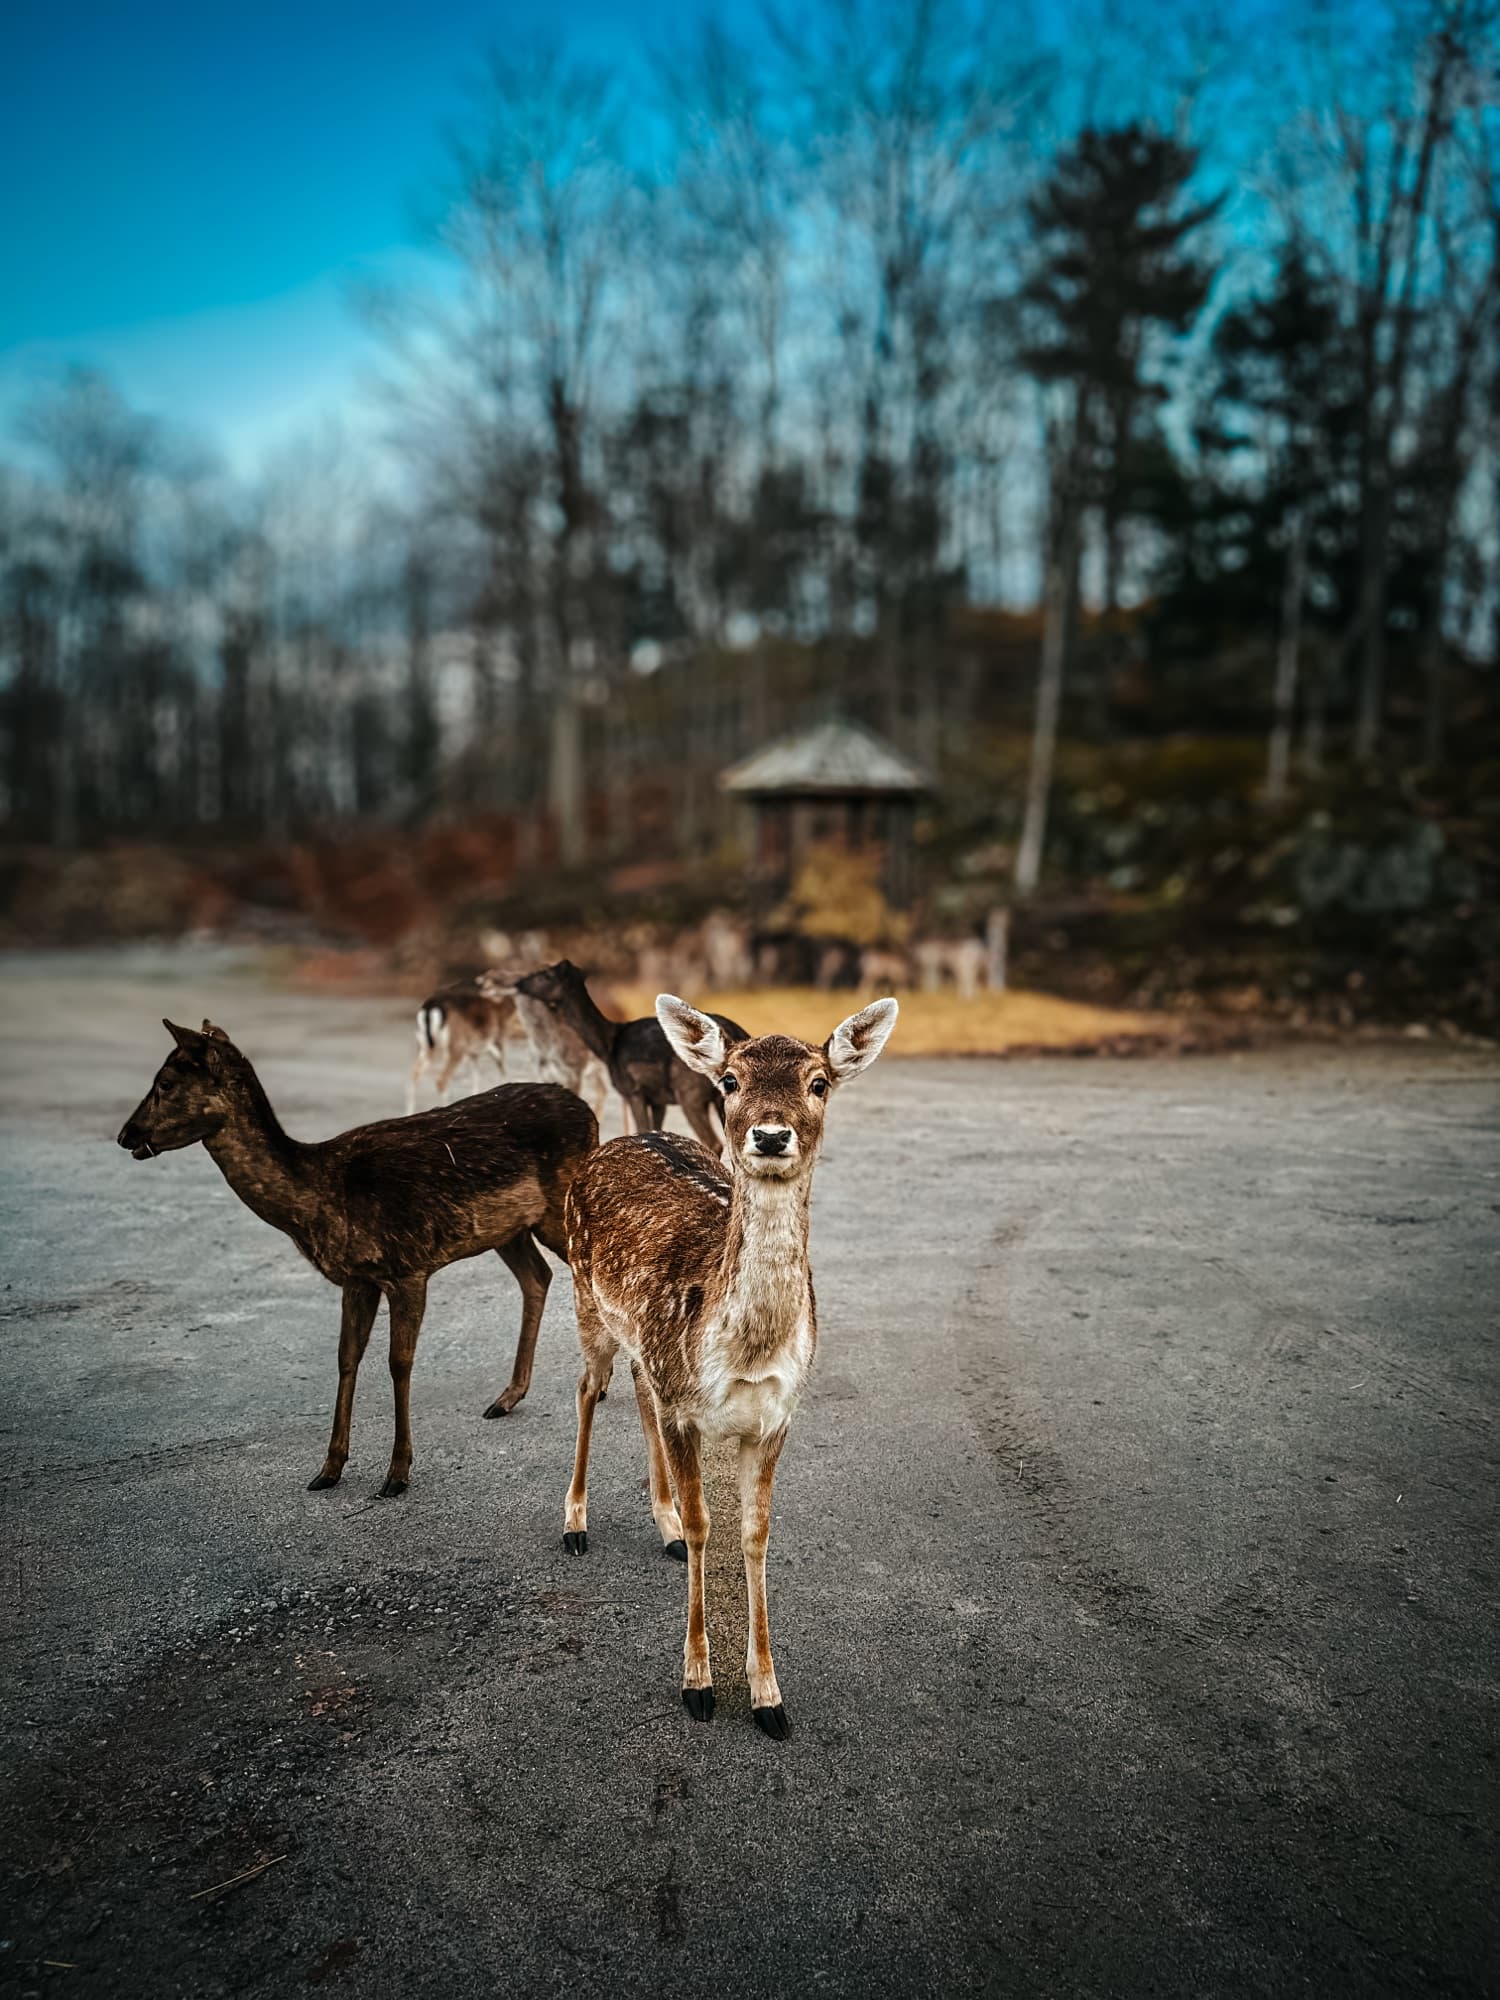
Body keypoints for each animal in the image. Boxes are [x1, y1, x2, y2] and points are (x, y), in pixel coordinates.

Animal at [117, 1019, 597, 1495]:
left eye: (166, 1082)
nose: (126, 1136)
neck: (323, 1195)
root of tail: (588, 1113)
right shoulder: (357, 1278)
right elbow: (346, 1358)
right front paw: (328, 1468)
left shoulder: (409, 1267)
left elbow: (398, 1363)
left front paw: (397, 1473)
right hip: (510, 1229)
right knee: (537, 1277)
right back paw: (508, 1396)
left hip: (559, 1211)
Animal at [407, 978, 521, 1114]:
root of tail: (430, 1007)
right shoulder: (497, 1043)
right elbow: (503, 1072)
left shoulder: (474, 1053)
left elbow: (476, 1078)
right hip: (455, 1047)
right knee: (441, 1080)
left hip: (424, 1046)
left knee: (413, 1076)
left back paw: (408, 1113)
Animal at [513, 960, 749, 1153]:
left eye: (545, 974)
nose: (519, 982)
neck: (608, 1045)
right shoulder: (658, 1100)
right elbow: (657, 1132)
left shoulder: (633, 1090)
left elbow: (643, 1130)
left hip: (690, 1094)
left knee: (714, 1142)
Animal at [560, 991, 898, 1740]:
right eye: (730, 1082)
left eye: (819, 1083)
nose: (770, 1137)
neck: (742, 1351)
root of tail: (617, 1141)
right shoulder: (687, 1411)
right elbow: (703, 1526)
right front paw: (697, 1685)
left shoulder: (775, 1415)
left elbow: (754, 1534)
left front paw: (769, 1695)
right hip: (584, 1295)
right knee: (589, 1388)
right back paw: (574, 1525)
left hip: (642, 1343)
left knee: (637, 1387)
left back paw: (657, 1529)